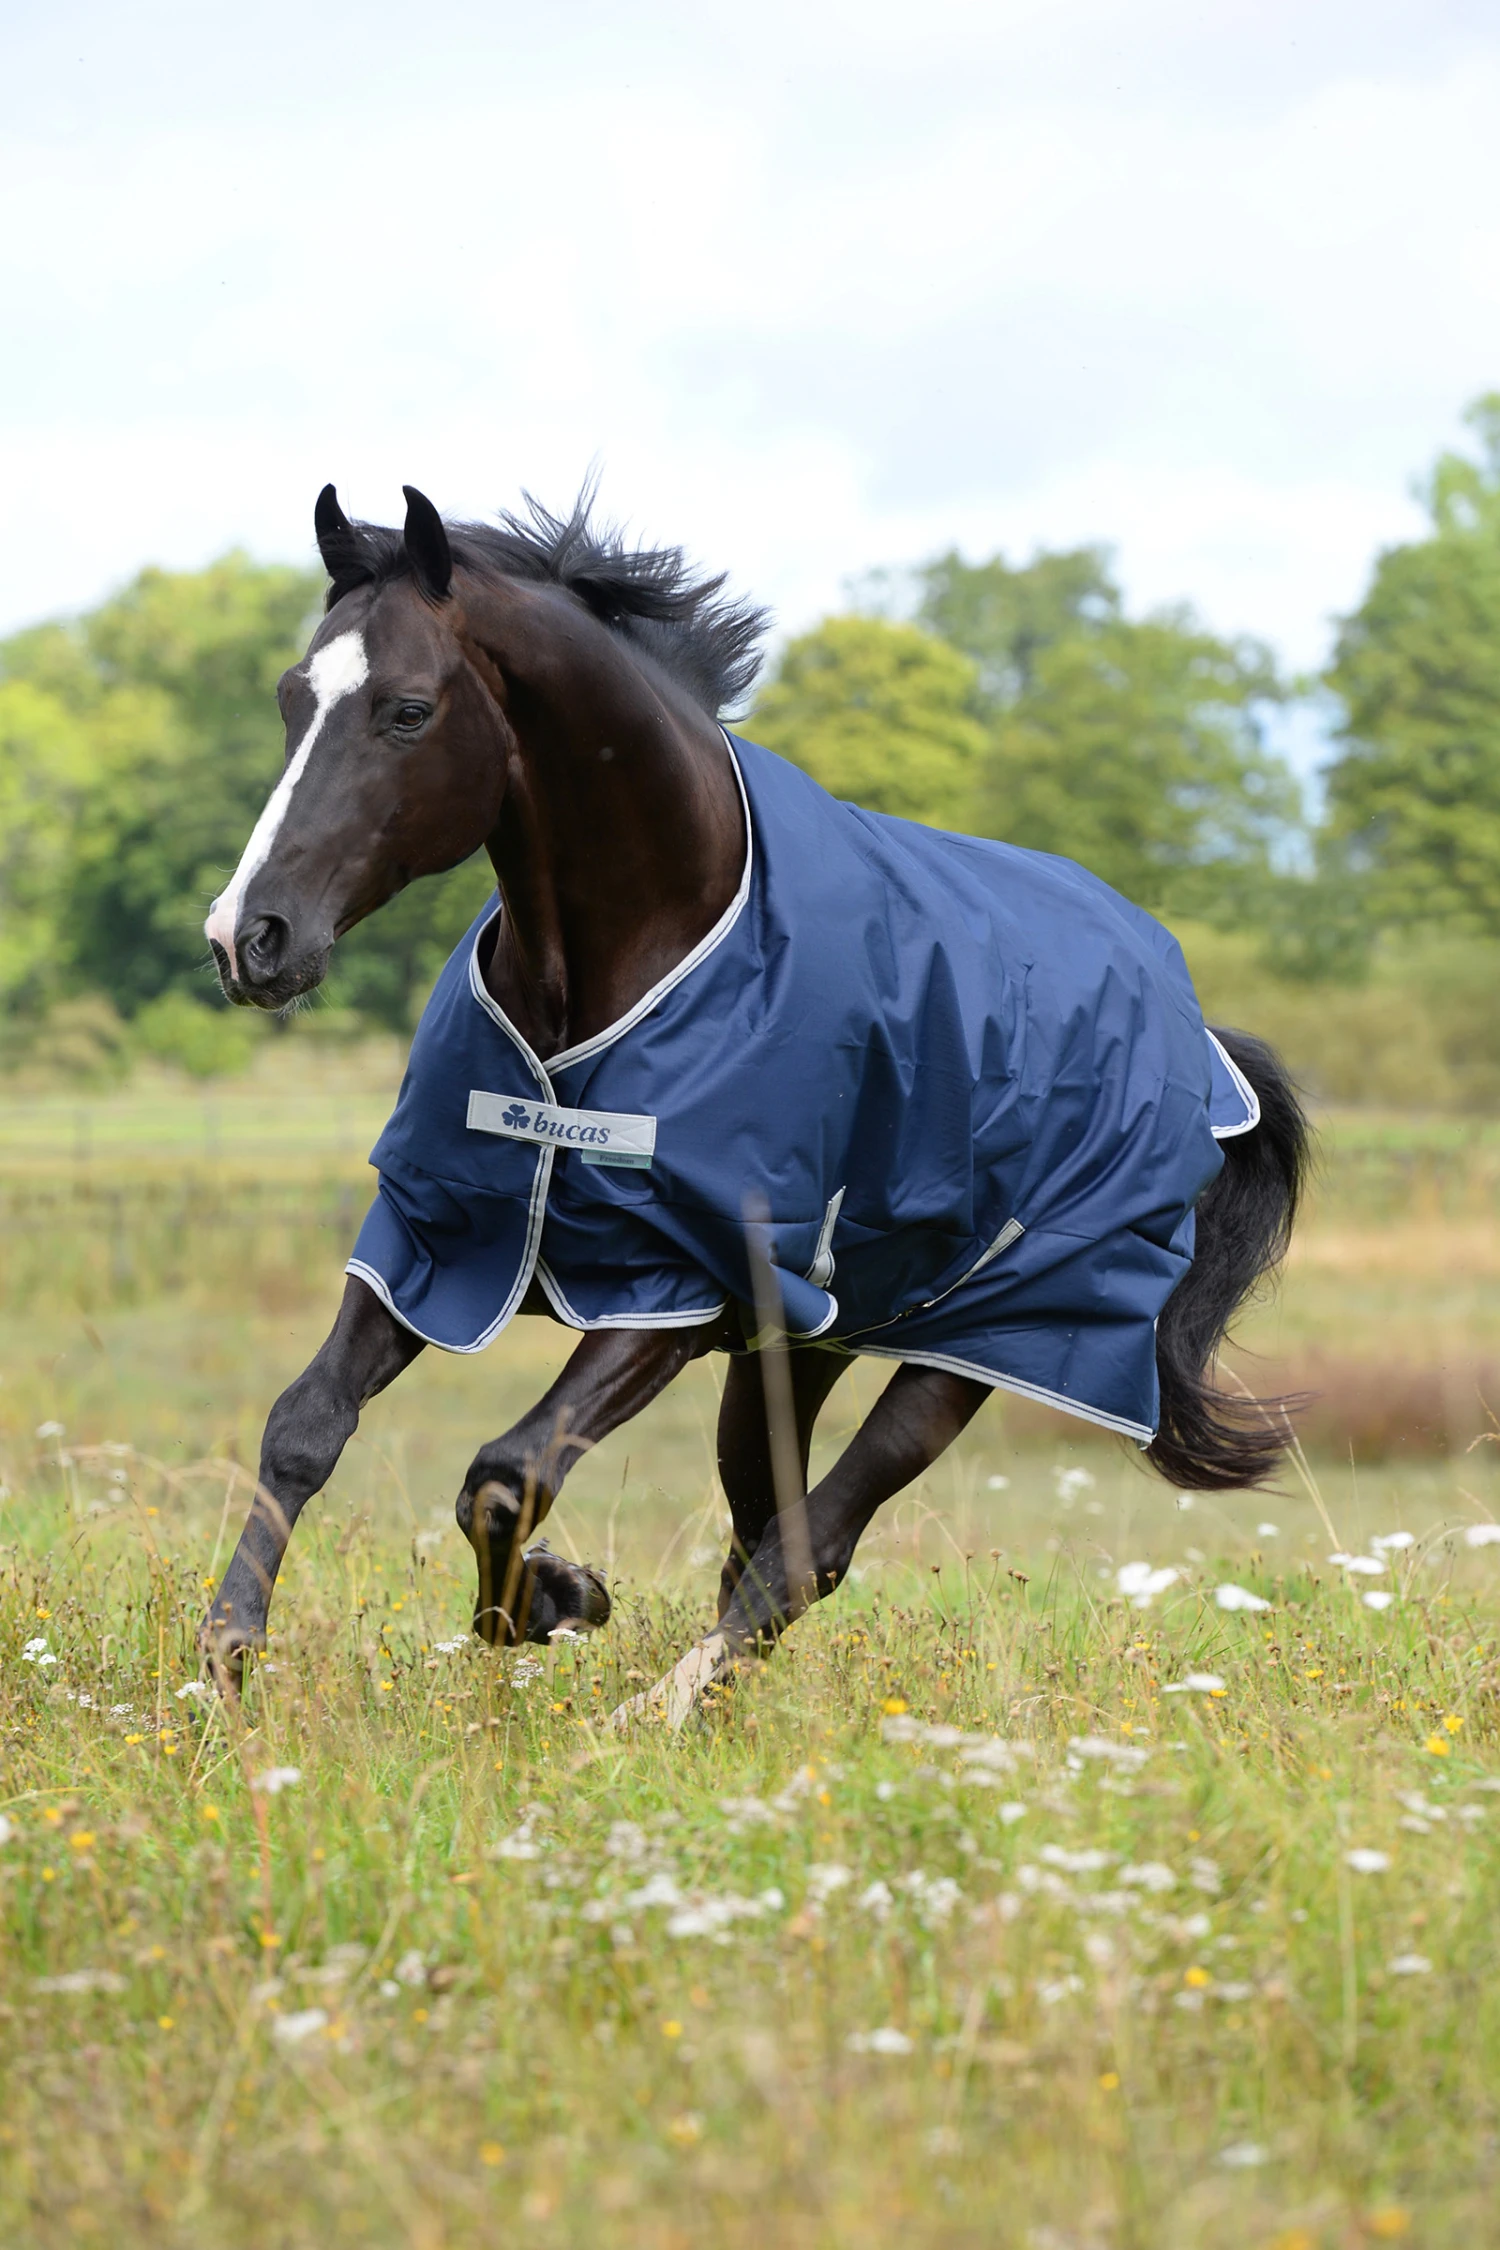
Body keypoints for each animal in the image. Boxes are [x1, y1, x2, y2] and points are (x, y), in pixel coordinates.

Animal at [200, 482, 1309, 1724]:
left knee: (808, 1546)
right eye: (293, 696)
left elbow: (506, 1474)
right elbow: (305, 1423)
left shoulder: (676, 1288)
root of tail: (1197, 1040)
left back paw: (659, 1713)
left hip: (985, 1345)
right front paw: (226, 1659)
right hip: (805, 1347)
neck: (641, 951)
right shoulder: (438, 1232)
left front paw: (557, 1598)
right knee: (765, 1530)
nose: (249, 938)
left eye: (406, 711)